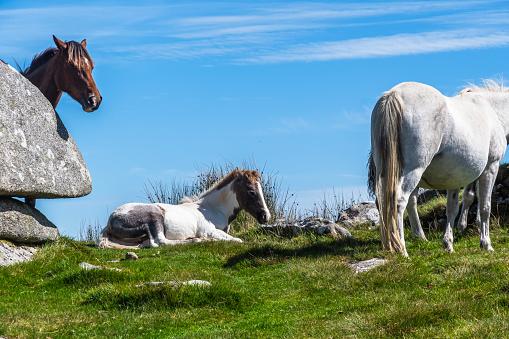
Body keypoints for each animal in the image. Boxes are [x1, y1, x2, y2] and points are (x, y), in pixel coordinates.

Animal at [96, 170, 270, 250]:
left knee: (146, 242)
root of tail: (110, 221)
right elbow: (237, 240)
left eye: (261, 189)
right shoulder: (208, 230)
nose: (265, 216)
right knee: (159, 241)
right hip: (154, 217)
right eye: (251, 191)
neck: (212, 208)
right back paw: (196, 240)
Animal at [370, 81, 508, 258]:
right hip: (412, 171)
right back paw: (402, 250)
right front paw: (486, 244)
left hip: (385, 171)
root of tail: (394, 94)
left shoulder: (455, 178)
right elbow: (485, 207)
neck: (491, 110)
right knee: (400, 202)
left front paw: (448, 245)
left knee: (387, 202)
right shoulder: (491, 167)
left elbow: (452, 209)